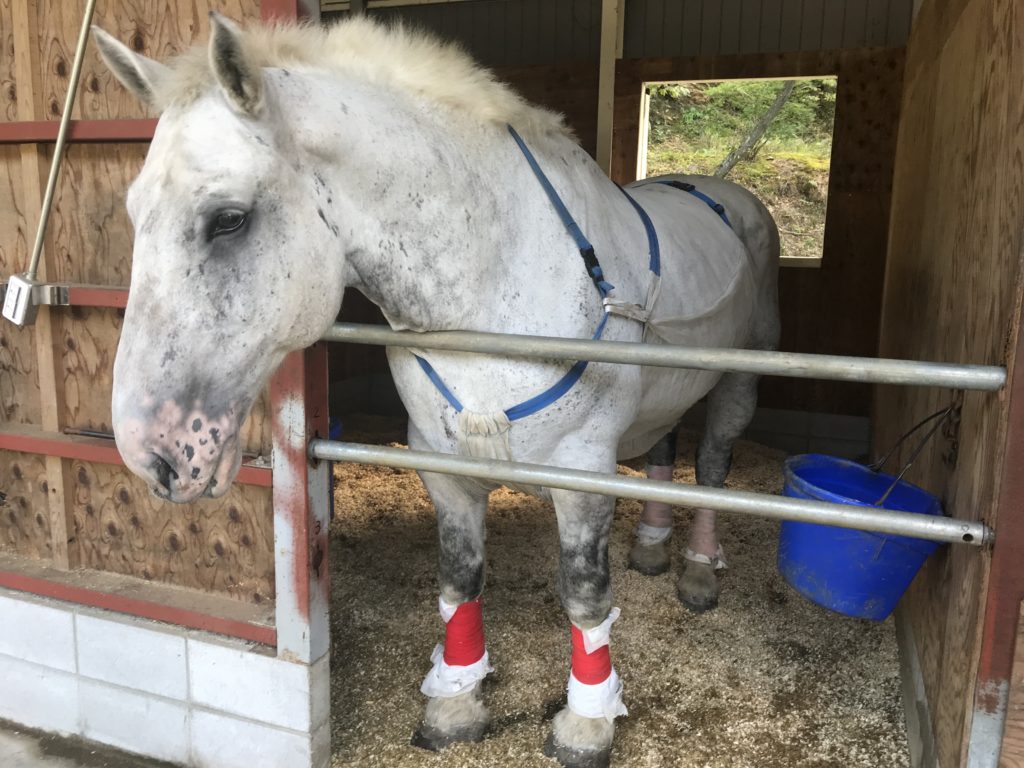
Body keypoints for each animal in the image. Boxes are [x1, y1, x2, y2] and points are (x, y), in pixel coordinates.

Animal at [95, 14, 779, 766]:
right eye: (132, 211)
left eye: (228, 219)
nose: (148, 452)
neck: (495, 283)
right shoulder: (442, 465)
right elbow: (459, 580)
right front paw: (455, 701)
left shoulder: (582, 473)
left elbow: (585, 596)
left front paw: (587, 722)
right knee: (665, 445)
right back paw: (654, 547)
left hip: (740, 380)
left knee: (711, 463)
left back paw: (697, 570)